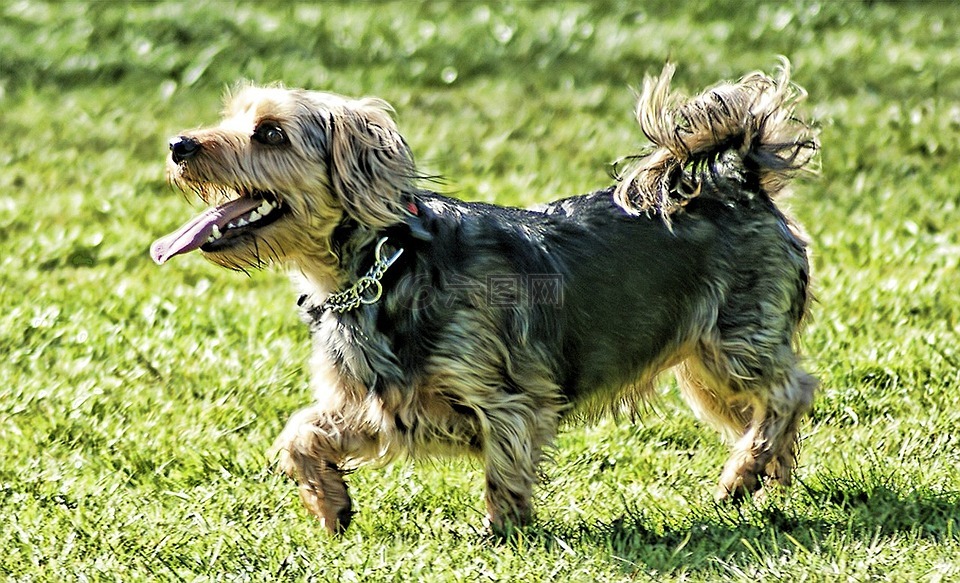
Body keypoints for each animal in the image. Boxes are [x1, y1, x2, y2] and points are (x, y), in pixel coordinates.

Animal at [150, 61, 816, 536]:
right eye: (230, 118)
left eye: (270, 134)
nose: (179, 144)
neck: (383, 269)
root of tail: (744, 181)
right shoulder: (387, 406)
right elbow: (300, 434)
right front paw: (331, 503)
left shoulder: (505, 398)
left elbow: (505, 465)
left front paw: (503, 534)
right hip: (704, 371)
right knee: (768, 414)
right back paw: (767, 475)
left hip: (734, 345)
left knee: (792, 390)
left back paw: (740, 476)